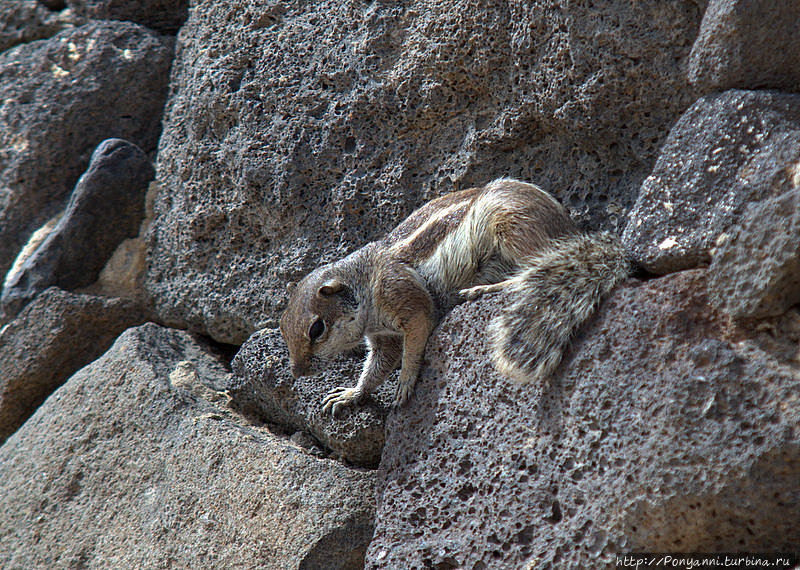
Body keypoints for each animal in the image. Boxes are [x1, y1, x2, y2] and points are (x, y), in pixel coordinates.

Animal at [280, 178, 632, 412]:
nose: (296, 372)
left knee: (531, 272)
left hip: (514, 225)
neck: (365, 281)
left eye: (316, 329)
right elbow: (378, 366)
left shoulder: (404, 296)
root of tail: (571, 232)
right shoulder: (384, 337)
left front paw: (405, 382)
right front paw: (352, 394)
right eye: (283, 330)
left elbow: (415, 339)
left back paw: (485, 288)